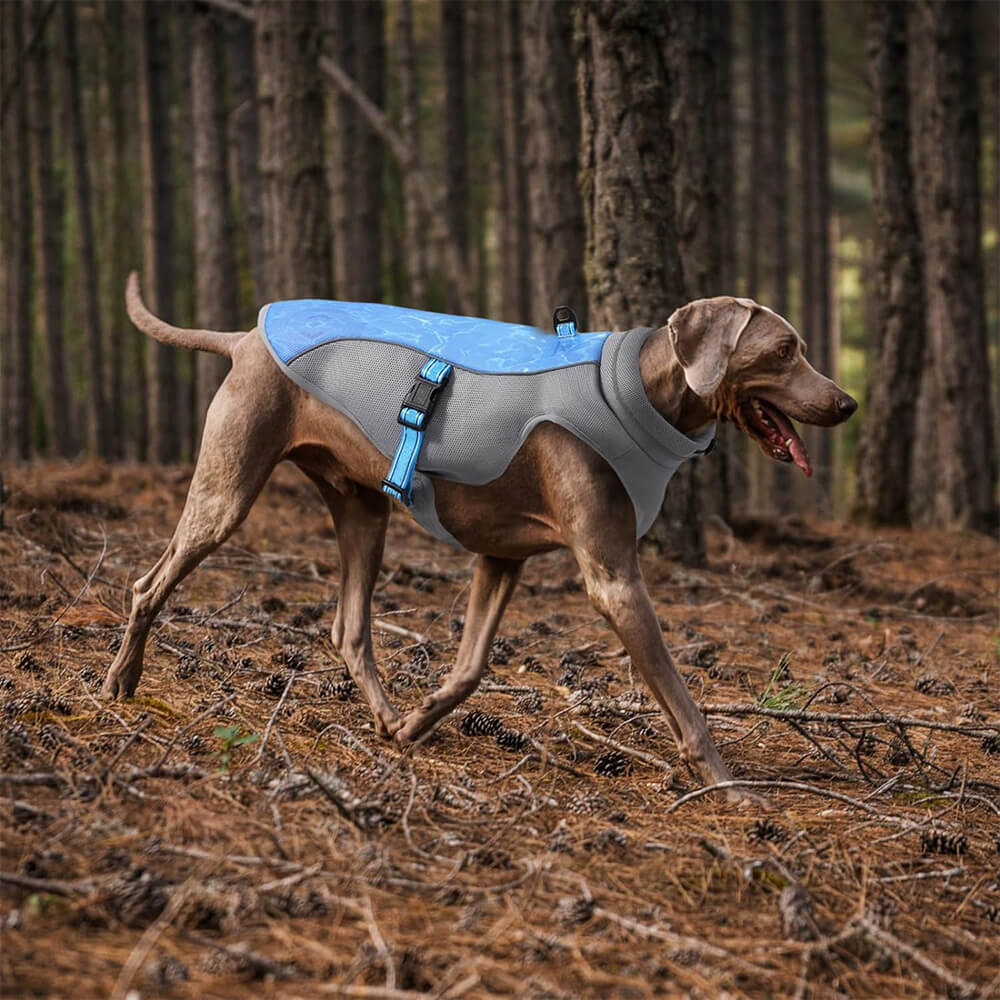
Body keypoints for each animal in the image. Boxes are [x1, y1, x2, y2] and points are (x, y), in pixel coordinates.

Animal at [99, 276, 852, 804]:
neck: (636, 390)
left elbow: (469, 668)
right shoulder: (613, 579)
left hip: (363, 512)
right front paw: (732, 788)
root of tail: (244, 338)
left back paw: (385, 719)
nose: (847, 403)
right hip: (226, 491)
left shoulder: (501, 557)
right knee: (147, 582)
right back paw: (121, 682)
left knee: (349, 629)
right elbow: (685, 705)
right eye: (783, 350)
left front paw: (416, 725)